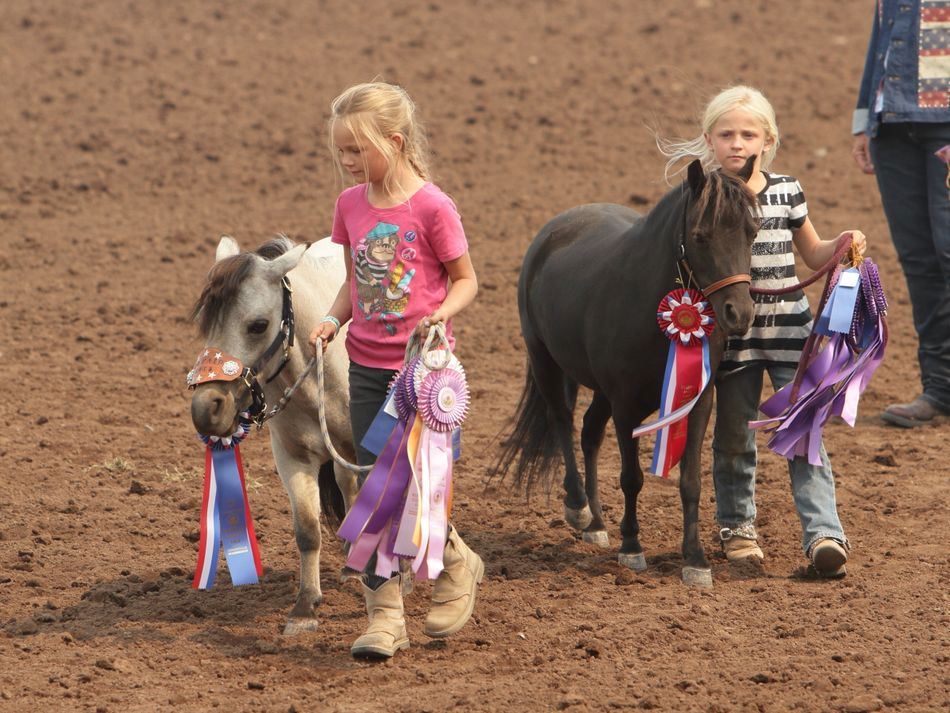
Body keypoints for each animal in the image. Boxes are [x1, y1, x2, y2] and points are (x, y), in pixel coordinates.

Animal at [189, 235, 360, 632]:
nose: (206, 408)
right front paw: (304, 608)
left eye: (257, 325)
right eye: (206, 322)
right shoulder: (292, 458)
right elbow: (308, 530)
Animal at [495, 158, 760, 586]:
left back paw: (596, 524)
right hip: (544, 360)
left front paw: (696, 559)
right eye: (700, 237)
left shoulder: (699, 402)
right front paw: (632, 547)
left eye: (752, 232)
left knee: (588, 432)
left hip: (599, 390)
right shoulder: (625, 406)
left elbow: (690, 482)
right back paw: (578, 507)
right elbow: (631, 478)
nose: (739, 314)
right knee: (561, 420)